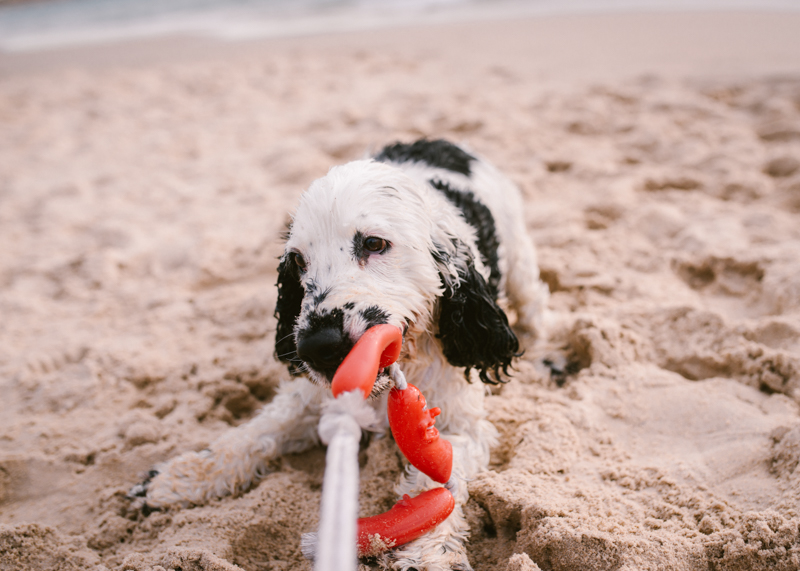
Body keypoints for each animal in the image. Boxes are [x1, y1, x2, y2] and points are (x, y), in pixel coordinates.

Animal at [131, 140, 552, 571]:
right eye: (298, 260)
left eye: (374, 243)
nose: (319, 347)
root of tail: (437, 143)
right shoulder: (311, 398)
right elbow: (253, 434)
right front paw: (177, 479)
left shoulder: (459, 425)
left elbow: (437, 482)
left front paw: (427, 555)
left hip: (518, 257)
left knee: (535, 305)